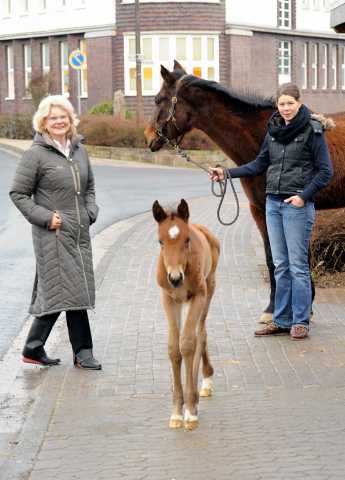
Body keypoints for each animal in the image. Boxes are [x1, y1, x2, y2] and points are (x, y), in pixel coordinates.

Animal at [152, 199, 219, 432]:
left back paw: (204, 383)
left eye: (187, 240)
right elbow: (174, 347)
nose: (175, 278)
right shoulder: (169, 298)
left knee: (200, 333)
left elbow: (188, 343)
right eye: (160, 242)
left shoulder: (196, 295)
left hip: (209, 288)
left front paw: (190, 412)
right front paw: (176, 413)